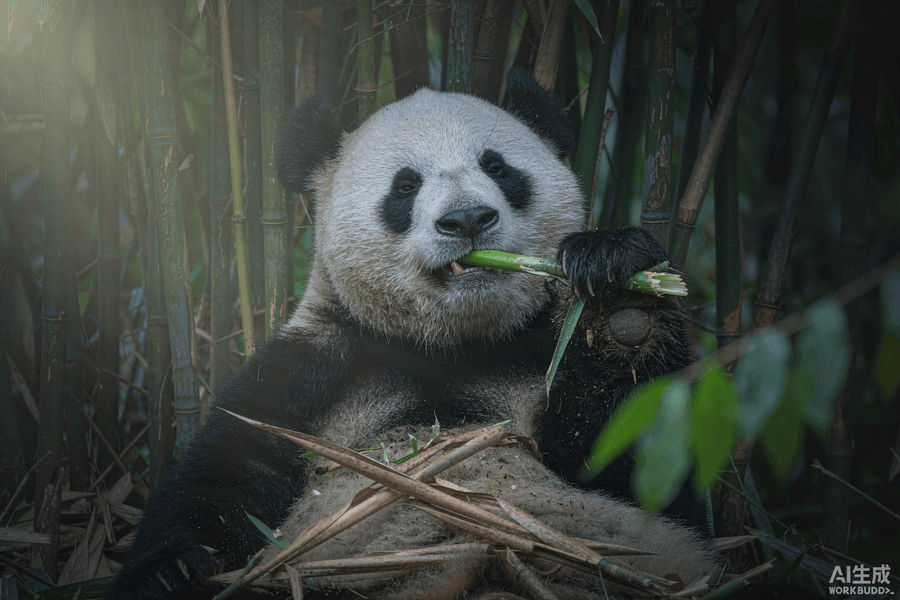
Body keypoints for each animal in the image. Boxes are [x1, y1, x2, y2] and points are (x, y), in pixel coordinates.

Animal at [104, 68, 714, 600]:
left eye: (498, 167)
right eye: (404, 186)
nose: (467, 220)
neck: (451, 345)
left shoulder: (540, 354)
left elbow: (640, 468)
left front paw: (620, 292)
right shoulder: (314, 367)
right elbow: (227, 472)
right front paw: (171, 571)